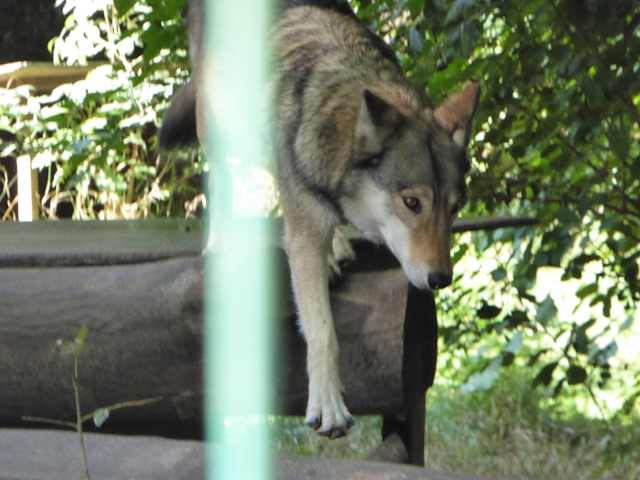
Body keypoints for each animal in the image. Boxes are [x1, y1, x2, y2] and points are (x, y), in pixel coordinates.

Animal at [160, 0, 480, 439]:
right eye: (412, 202)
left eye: (455, 207)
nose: (440, 279)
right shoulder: (304, 230)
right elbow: (322, 329)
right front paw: (328, 407)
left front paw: (336, 245)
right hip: (221, 125)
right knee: (225, 178)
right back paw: (220, 244)